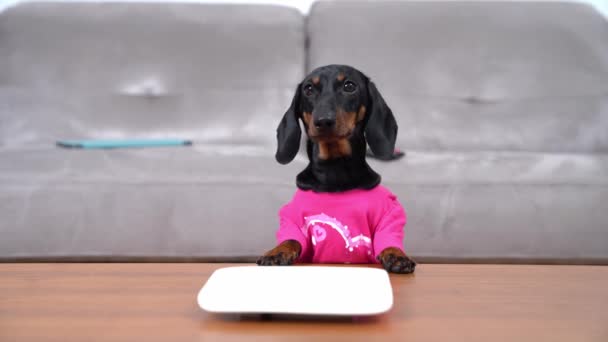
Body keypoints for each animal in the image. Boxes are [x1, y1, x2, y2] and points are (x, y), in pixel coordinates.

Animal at [256, 63, 418, 272]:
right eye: (308, 89)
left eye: (349, 86)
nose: (323, 121)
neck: (335, 172)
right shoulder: (292, 218)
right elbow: (291, 239)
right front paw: (277, 251)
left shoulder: (388, 214)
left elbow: (388, 237)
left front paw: (396, 254)